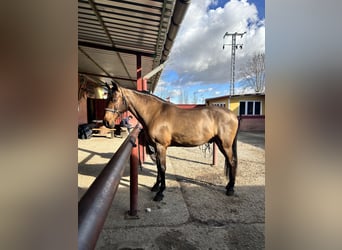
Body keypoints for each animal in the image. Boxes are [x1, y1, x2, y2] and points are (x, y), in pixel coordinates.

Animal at [103, 83, 239, 202]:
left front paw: (160, 192)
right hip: (220, 144)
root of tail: (234, 115)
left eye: (114, 98)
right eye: (107, 98)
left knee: (232, 162)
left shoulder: (161, 146)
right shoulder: (156, 147)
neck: (155, 113)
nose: (106, 122)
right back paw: (229, 186)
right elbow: (158, 167)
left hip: (225, 145)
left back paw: (231, 189)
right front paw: (156, 186)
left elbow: (162, 167)